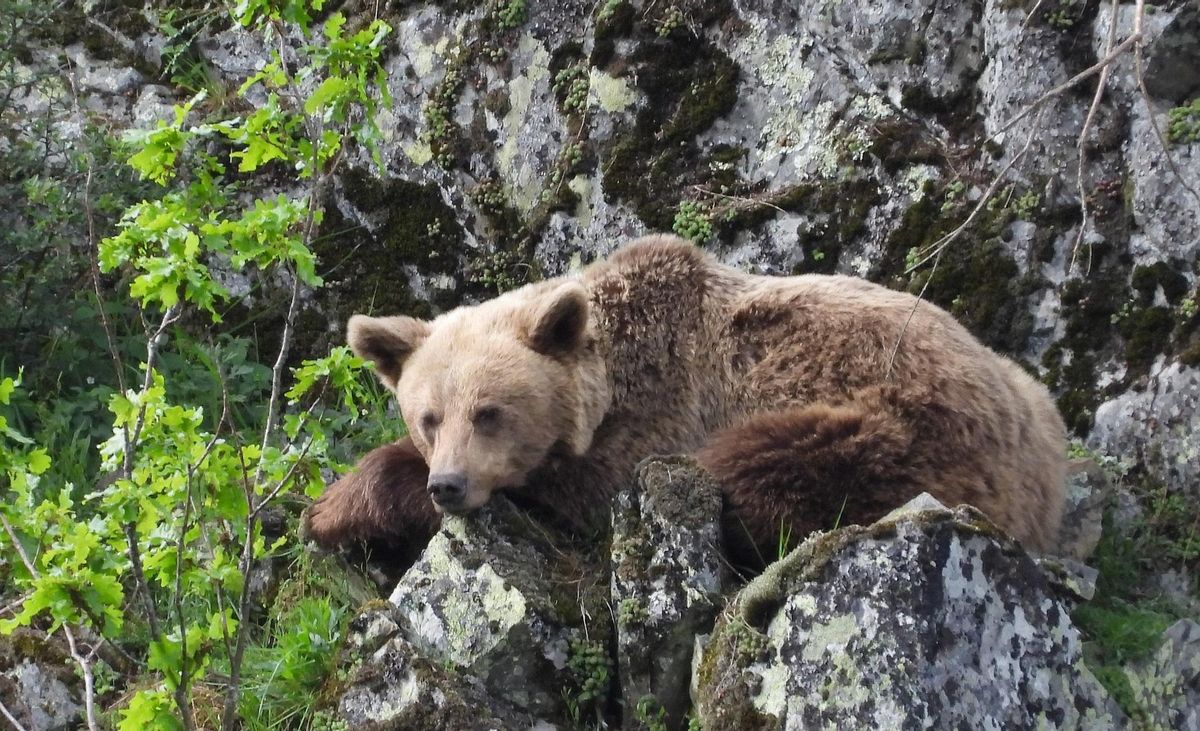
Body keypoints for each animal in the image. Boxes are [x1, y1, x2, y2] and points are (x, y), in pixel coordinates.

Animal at [307, 234, 1067, 568]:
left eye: (491, 412)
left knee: (768, 464)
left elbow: (578, 500)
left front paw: (339, 509)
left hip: (916, 424)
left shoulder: (657, 416)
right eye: (428, 417)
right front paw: (332, 504)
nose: (450, 484)